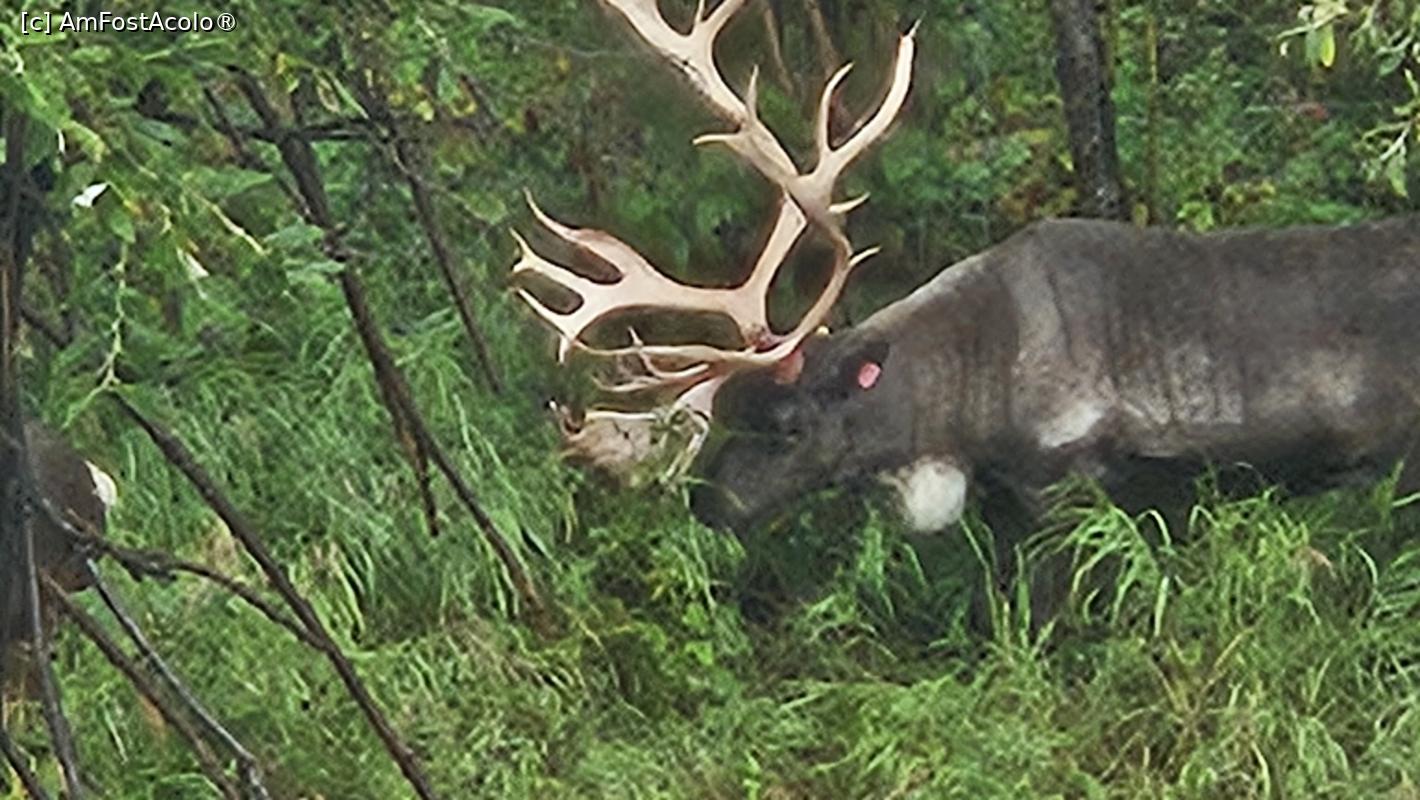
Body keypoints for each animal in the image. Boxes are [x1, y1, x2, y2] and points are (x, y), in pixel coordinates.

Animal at [511, 0, 1420, 625]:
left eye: (791, 424)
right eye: (731, 414)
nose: (710, 505)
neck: (961, 400)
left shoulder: (1071, 478)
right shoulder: (1009, 496)